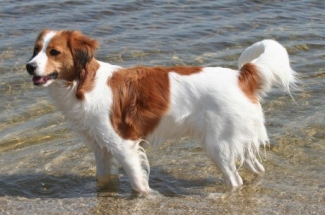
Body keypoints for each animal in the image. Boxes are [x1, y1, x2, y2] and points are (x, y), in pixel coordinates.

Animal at [26, 29, 296, 196]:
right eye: (36, 50)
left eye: (54, 52)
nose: (29, 67)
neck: (83, 84)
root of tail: (241, 76)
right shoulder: (101, 148)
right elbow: (103, 180)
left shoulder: (124, 145)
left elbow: (138, 183)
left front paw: (148, 197)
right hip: (235, 140)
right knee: (256, 168)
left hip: (217, 145)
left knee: (235, 180)